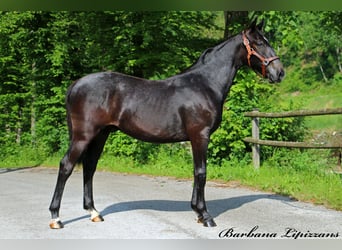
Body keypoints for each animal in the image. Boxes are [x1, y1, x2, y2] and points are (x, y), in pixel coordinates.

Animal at [48, 20, 284, 229]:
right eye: (258, 43)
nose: (279, 72)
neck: (205, 84)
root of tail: (76, 84)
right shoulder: (200, 135)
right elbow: (201, 172)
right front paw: (205, 215)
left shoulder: (195, 138)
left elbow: (196, 172)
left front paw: (197, 212)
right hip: (84, 136)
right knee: (66, 166)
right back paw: (56, 218)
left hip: (100, 135)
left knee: (90, 167)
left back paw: (94, 212)